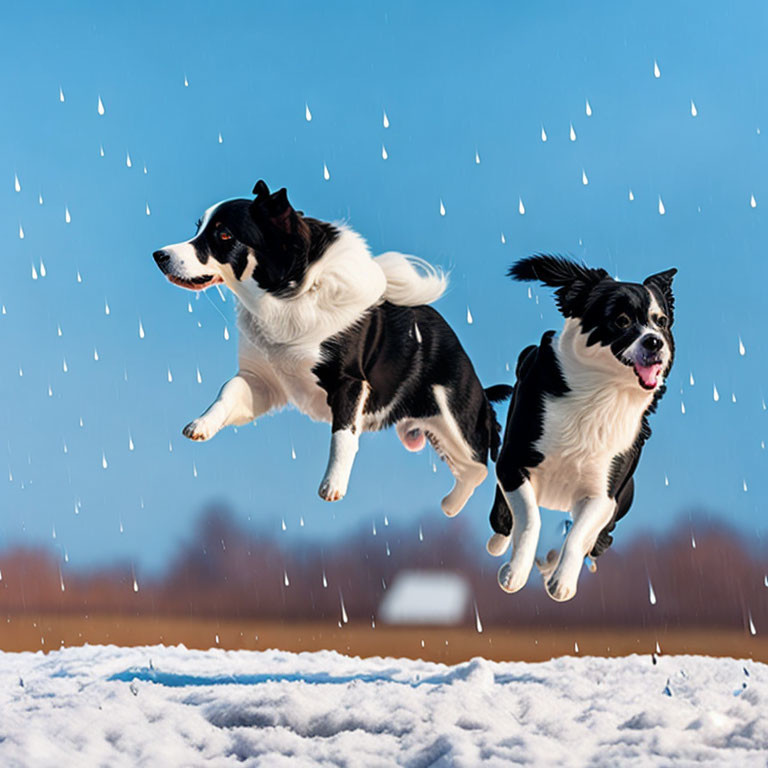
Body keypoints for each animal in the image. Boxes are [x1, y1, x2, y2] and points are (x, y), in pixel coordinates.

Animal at [152, 182, 510, 512]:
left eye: (224, 235)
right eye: (197, 228)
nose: (160, 256)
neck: (289, 294)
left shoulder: (351, 383)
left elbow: (343, 435)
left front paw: (332, 486)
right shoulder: (263, 382)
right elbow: (228, 390)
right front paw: (200, 425)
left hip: (455, 422)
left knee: (479, 466)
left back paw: (453, 507)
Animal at [488, 258, 676, 608]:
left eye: (661, 322)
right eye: (621, 320)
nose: (654, 341)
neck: (599, 393)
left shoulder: (604, 494)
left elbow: (577, 536)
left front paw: (561, 582)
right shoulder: (512, 463)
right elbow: (529, 519)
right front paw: (515, 573)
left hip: (623, 499)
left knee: (598, 539)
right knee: (503, 519)